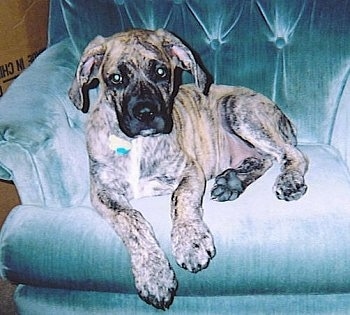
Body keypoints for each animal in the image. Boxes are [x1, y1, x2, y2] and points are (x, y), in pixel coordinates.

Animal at [69, 28, 308, 310]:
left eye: (161, 72)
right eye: (116, 78)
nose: (146, 114)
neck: (137, 145)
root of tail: (282, 116)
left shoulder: (190, 172)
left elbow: (180, 199)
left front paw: (190, 243)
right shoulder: (102, 192)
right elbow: (131, 219)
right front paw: (154, 274)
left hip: (238, 111)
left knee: (290, 153)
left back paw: (287, 181)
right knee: (266, 158)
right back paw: (232, 182)